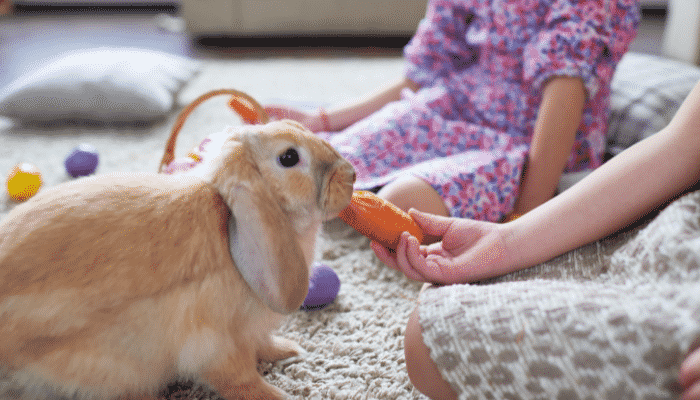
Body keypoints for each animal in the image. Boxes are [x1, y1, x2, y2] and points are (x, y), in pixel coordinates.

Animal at [0, 119, 356, 400]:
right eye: (289, 157)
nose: (351, 174)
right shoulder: (217, 341)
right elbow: (238, 378)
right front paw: (277, 395)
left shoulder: (251, 333)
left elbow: (264, 344)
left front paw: (288, 350)